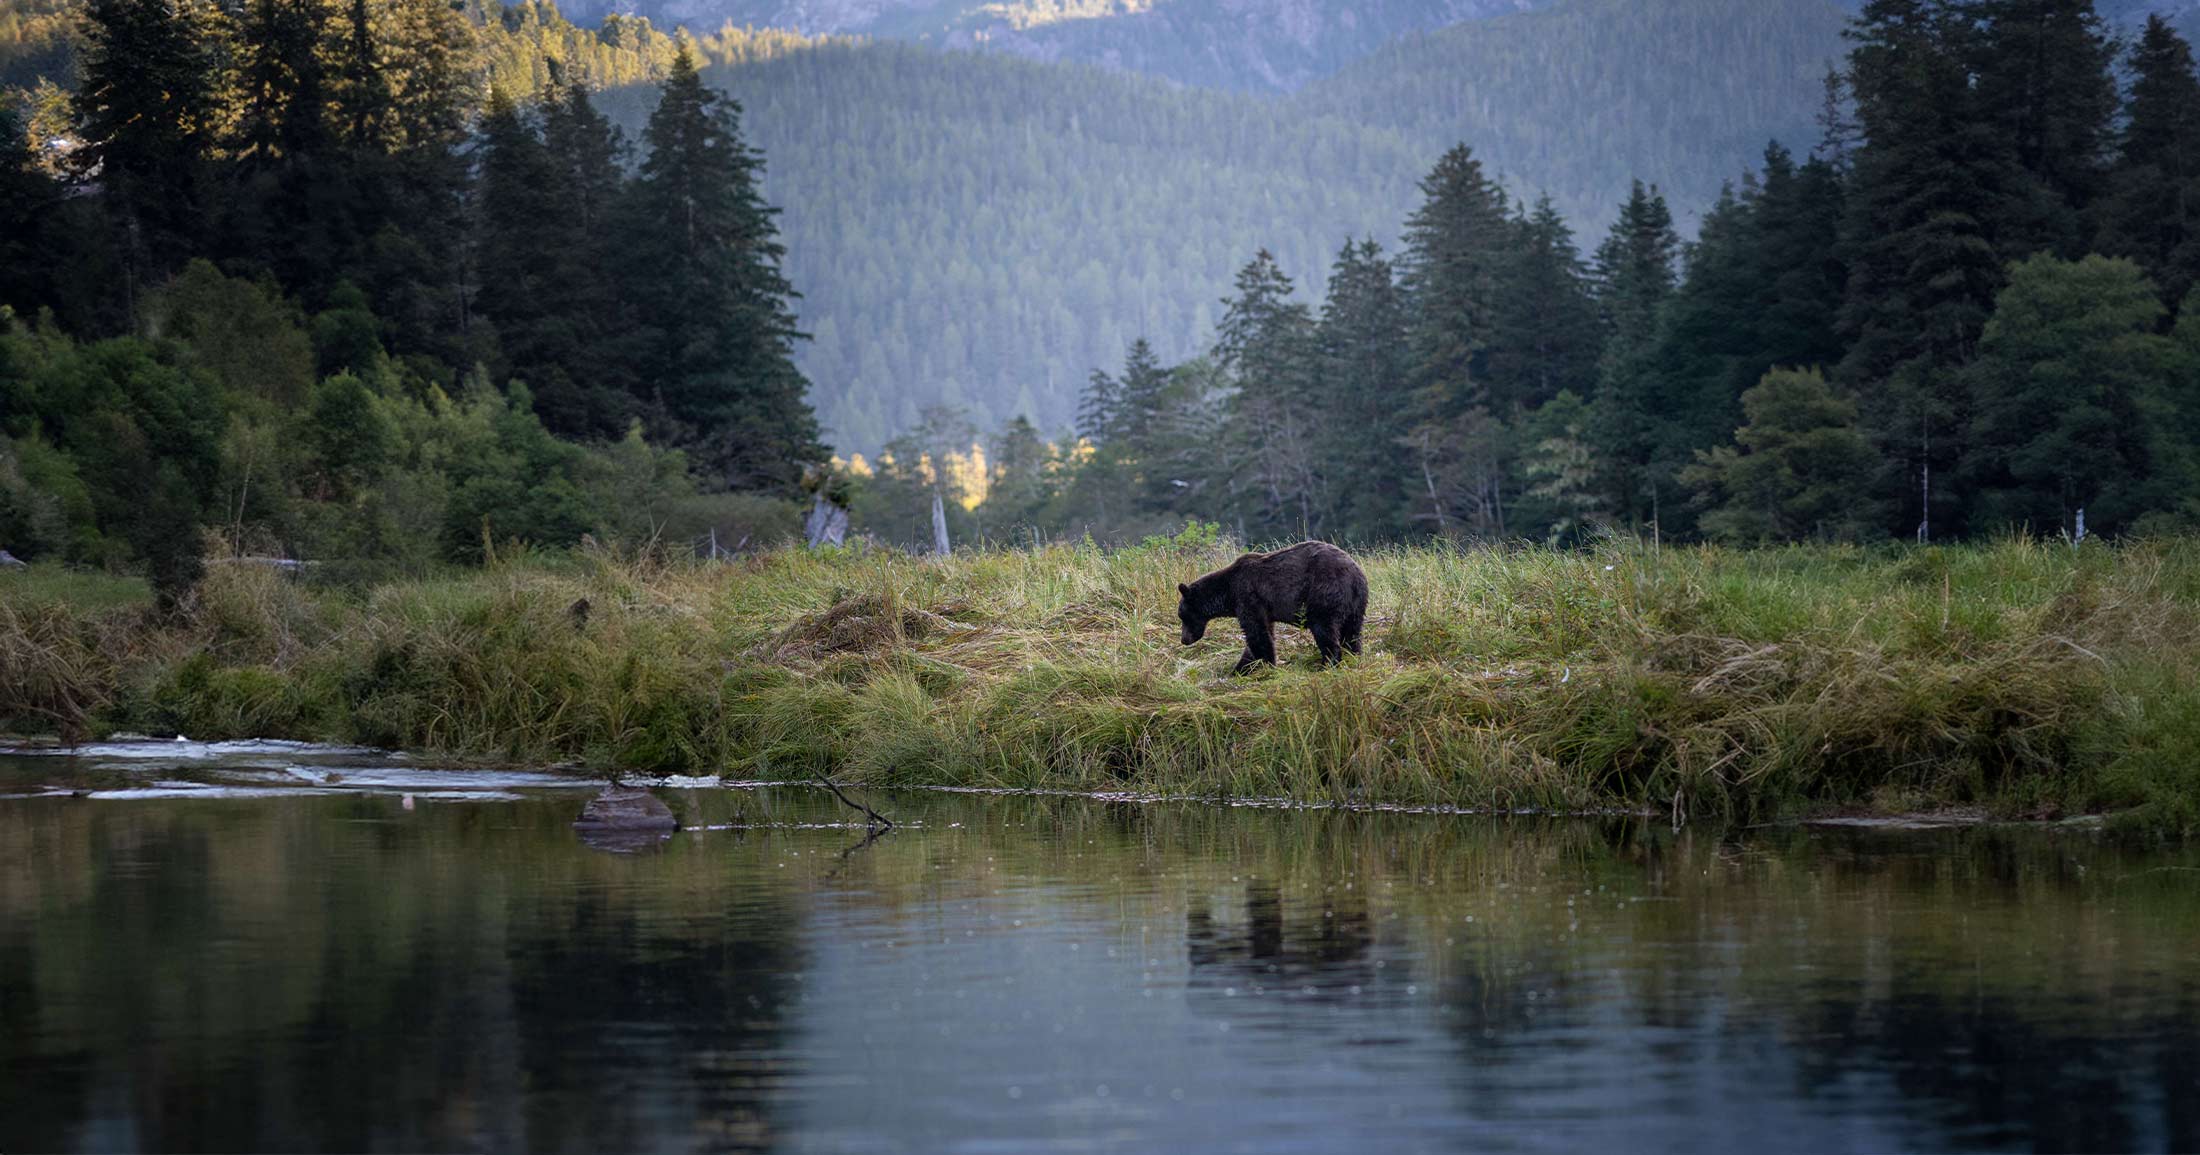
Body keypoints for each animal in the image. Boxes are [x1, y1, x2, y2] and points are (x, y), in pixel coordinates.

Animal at [1179, 543, 1364, 668]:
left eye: (1182, 616)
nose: (1184, 640)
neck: (1227, 592)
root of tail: (1355, 574)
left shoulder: (1247, 596)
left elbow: (1257, 633)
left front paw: (1265, 664)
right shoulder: (1264, 608)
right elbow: (1263, 633)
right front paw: (1242, 668)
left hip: (1324, 592)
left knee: (1324, 628)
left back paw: (1328, 662)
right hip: (1355, 604)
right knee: (1352, 632)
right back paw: (1353, 656)